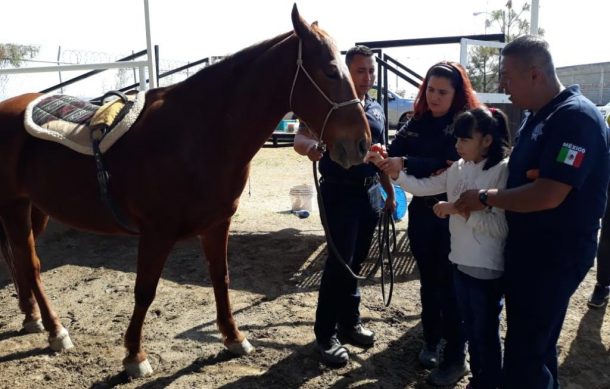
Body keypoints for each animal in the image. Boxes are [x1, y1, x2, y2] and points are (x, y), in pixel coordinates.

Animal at [0, 4, 368, 378]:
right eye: (330, 72)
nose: (361, 144)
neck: (196, 133)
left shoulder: (217, 224)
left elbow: (221, 278)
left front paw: (234, 338)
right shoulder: (156, 233)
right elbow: (145, 290)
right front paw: (135, 356)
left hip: (35, 208)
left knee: (22, 261)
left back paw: (33, 319)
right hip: (14, 206)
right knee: (30, 264)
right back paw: (55, 330)